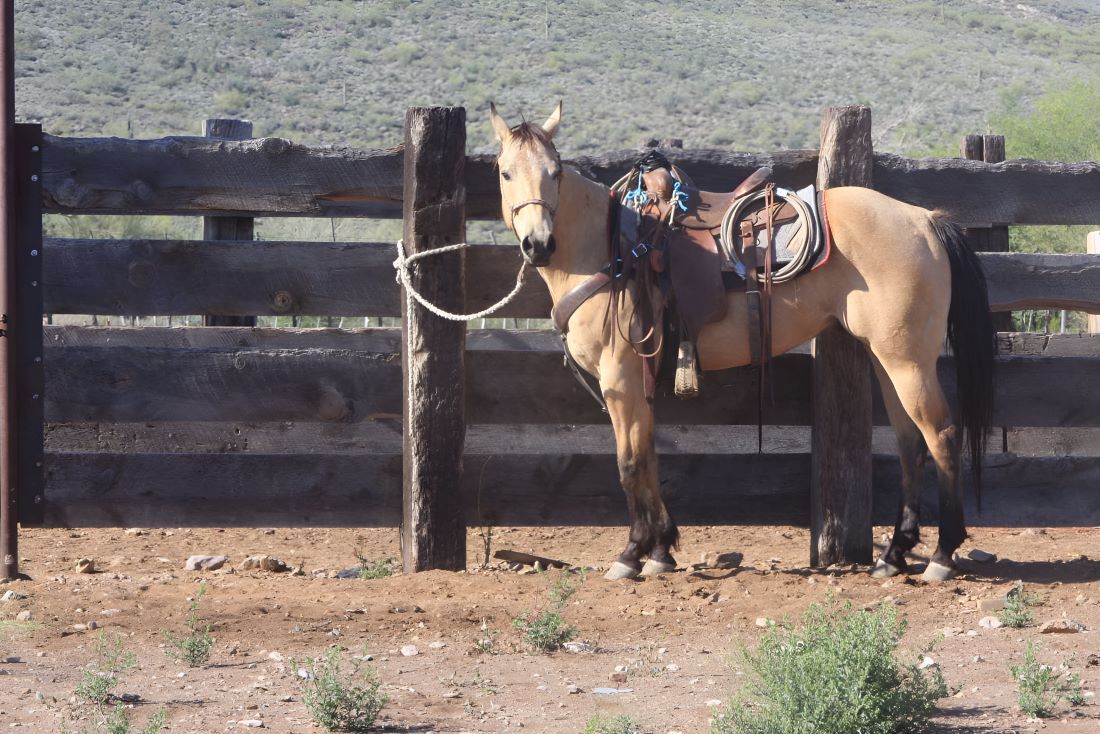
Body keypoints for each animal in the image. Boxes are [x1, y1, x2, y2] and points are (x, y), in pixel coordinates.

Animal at [488, 102, 995, 583]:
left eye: (555, 171)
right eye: (505, 172)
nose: (539, 244)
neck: (610, 247)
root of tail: (924, 220)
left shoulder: (620, 377)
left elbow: (629, 463)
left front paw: (631, 554)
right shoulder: (638, 382)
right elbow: (648, 457)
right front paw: (661, 550)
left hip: (908, 361)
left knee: (941, 436)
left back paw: (942, 556)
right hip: (887, 357)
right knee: (912, 443)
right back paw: (893, 555)